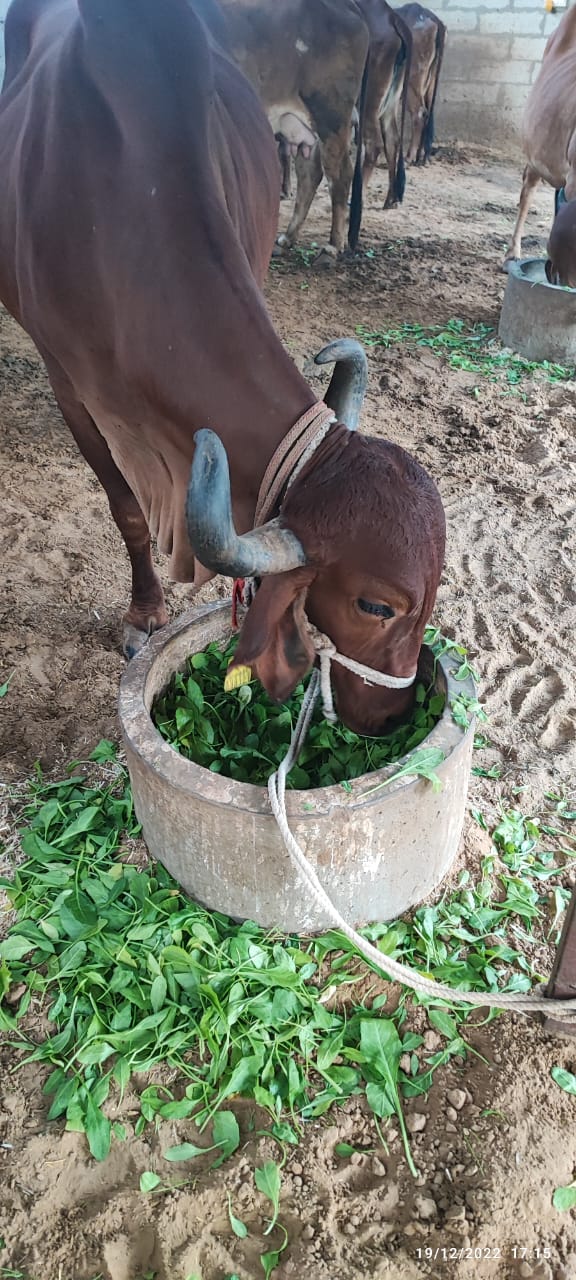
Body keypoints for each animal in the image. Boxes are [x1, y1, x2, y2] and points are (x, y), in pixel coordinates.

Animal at [396, 3, 446, 166]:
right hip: (430, 83)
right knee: (428, 113)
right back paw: (421, 156)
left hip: (412, 81)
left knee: (419, 113)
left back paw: (409, 157)